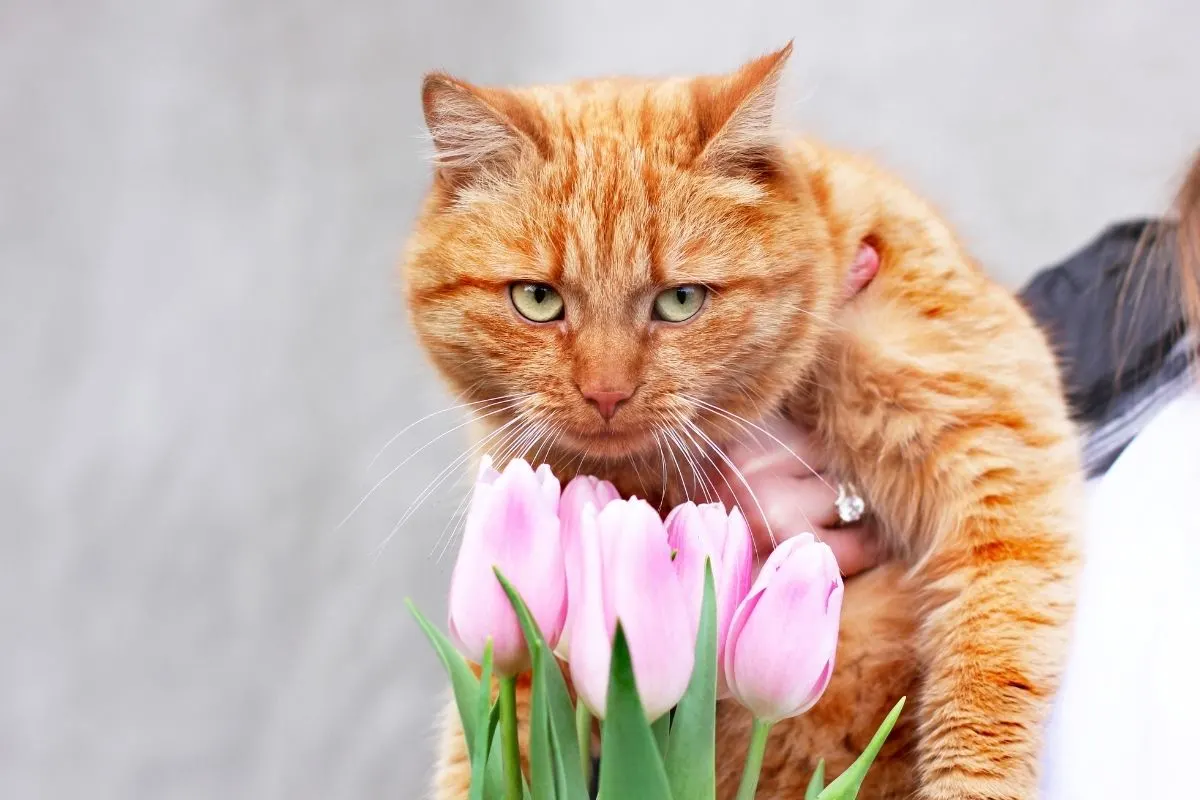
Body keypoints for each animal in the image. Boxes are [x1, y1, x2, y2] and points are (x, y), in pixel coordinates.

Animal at [405, 45, 1089, 800]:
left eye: (679, 301)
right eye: (536, 299)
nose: (607, 392)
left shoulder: (996, 474)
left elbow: (983, 695)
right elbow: (495, 740)